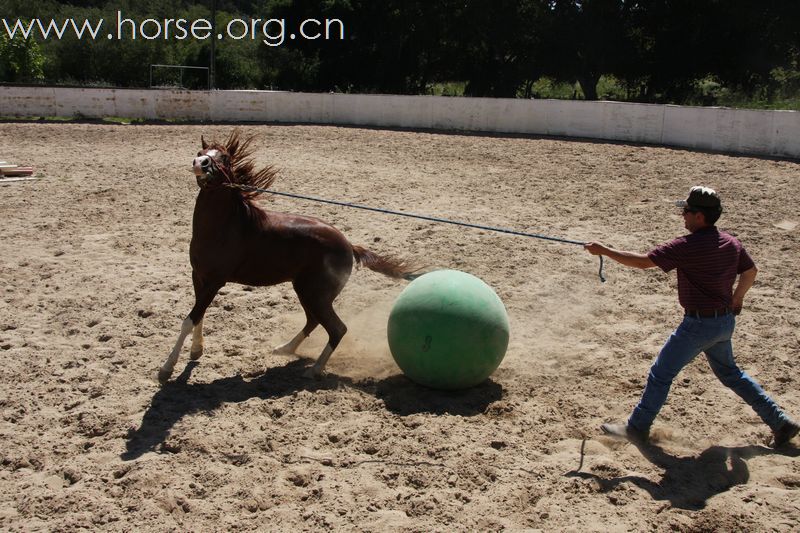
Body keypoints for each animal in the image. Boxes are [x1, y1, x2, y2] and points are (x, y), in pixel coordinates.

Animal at [158, 131, 418, 384]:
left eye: (224, 158)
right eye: (200, 152)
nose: (199, 164)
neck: (224, 227)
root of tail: (349, 246)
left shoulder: (215, 281)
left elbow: (189, 320)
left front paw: (166, 369)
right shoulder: (198, 277)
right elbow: (198, 317)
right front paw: (196, 351)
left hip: (316, 294)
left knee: (337, 329)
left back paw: (314, 370)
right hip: (305, 290)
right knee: (313, 321)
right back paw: (285, 349)